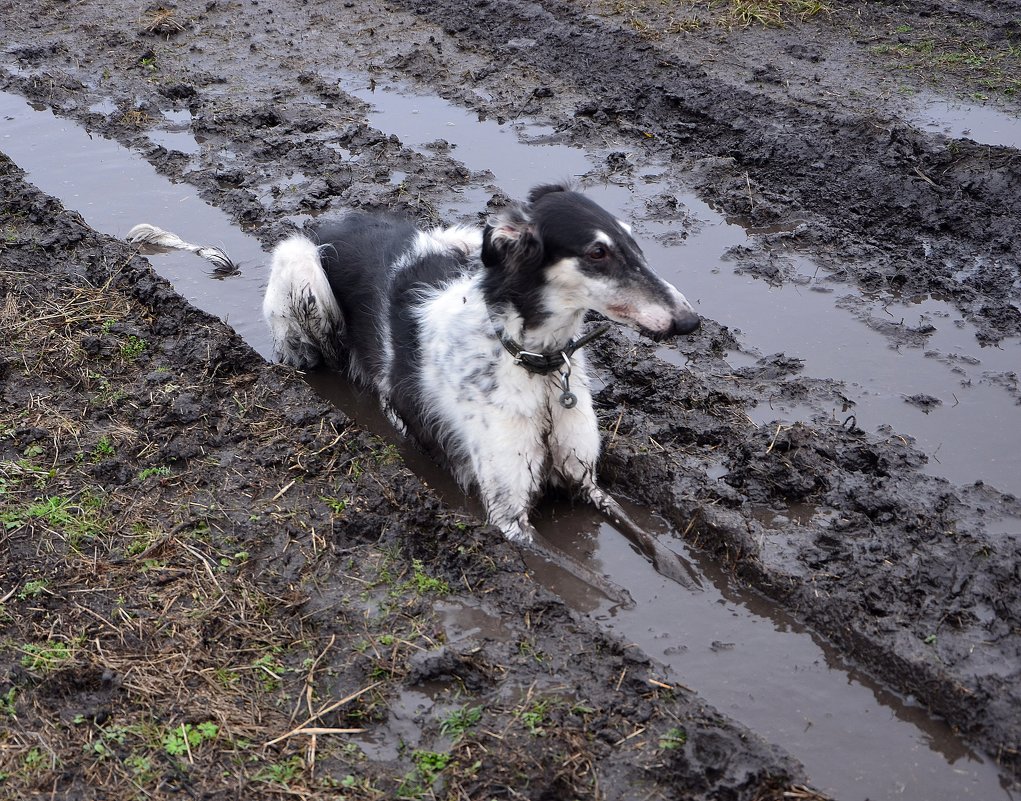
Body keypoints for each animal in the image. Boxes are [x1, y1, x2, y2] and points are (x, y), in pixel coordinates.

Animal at [127, 185, 702, 551]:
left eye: (634, 244)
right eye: (597, 253)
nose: (691, 320)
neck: (533, 365)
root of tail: (330, 219)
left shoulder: (587, 480)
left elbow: (655, 545)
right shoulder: (508, 516)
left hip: (460, 237)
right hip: (304, 273)